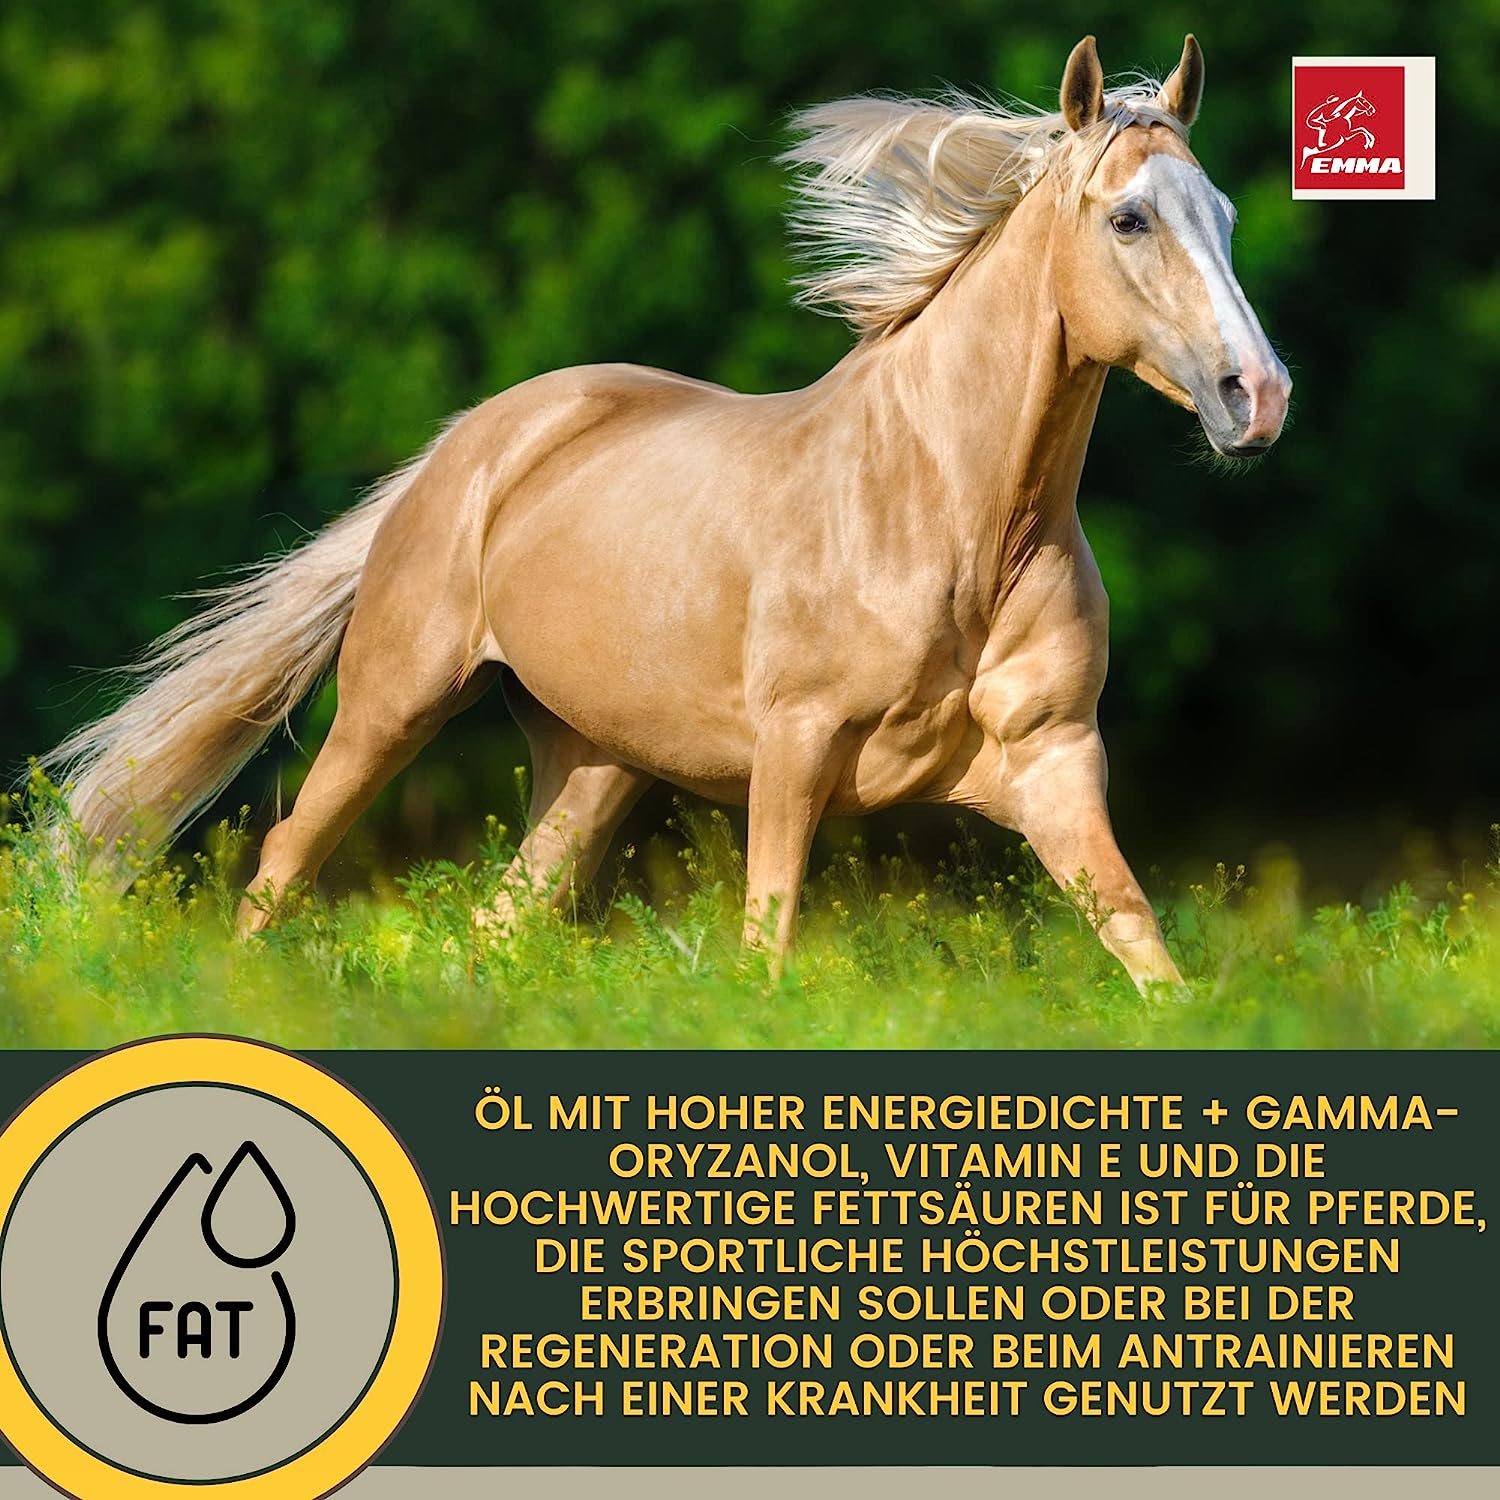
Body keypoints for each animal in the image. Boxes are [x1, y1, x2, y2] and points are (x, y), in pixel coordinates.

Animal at [44, 35, 1290, 993]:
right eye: (1128, 219)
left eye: (1226, 214)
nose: (1258, 396)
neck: (954, 520)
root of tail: (472, 442)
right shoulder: (794, 750)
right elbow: (765, 949)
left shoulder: (1054, 760)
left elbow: (1145, 948)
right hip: (392, 704)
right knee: (284, 864)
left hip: (593, 765)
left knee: (498, 922)